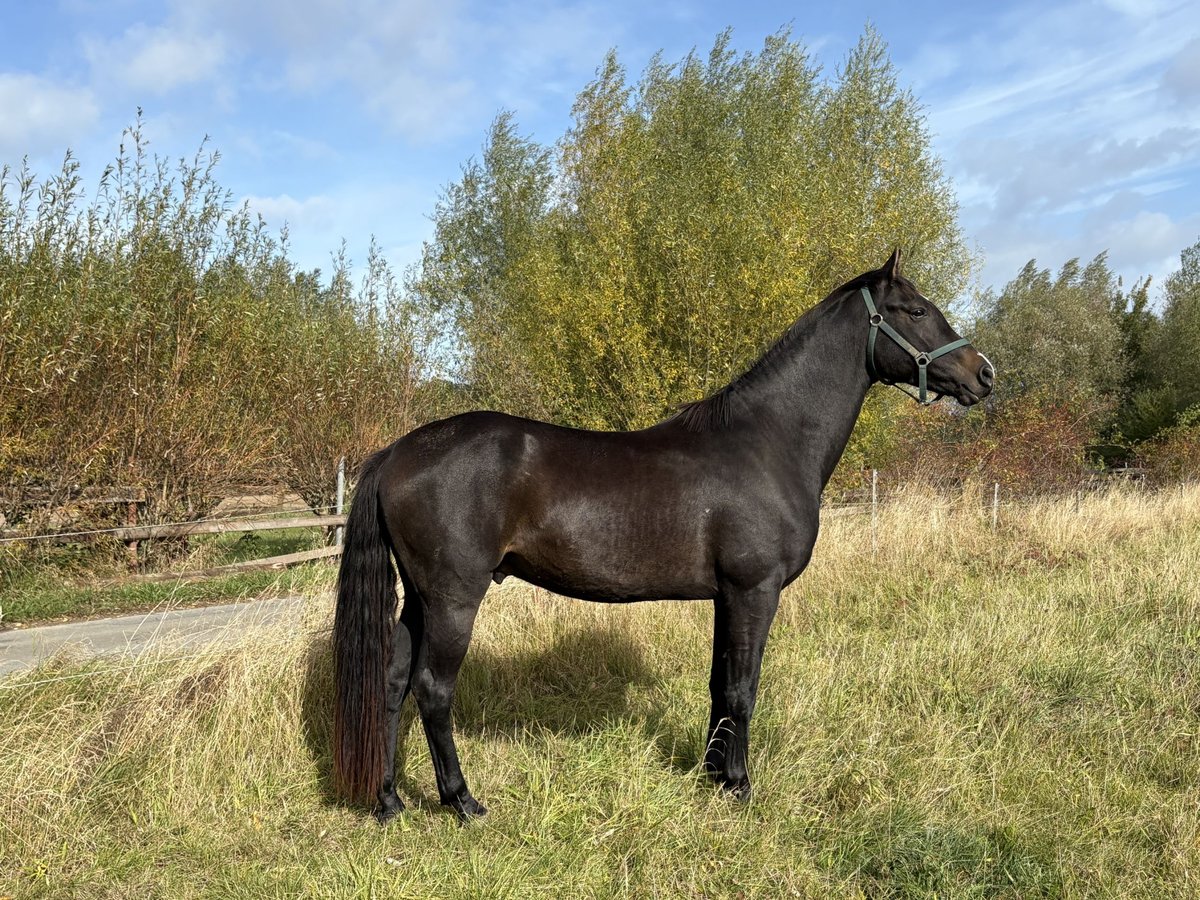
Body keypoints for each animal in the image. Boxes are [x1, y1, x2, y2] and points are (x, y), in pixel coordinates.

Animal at [331, 249, 994, 820]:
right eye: (915, 311)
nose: (983, 374)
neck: (768, 441)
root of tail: (397, 452)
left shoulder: (728, 596)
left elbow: (720, 686)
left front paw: (711, 775)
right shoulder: (755, 590)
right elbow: (743, 689)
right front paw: (739, 786)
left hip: (419, 599)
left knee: (391, 685)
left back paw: (389, 801)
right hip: (453, 598)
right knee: (432, 691)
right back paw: (462, 802)